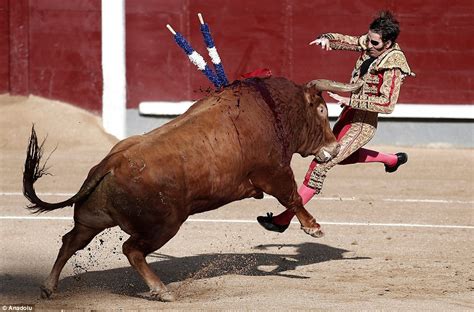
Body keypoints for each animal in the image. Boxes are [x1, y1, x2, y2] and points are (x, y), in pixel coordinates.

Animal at [22, 75, 362, 300]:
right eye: (322, 111)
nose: (334, 148)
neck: (273, 109)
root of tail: (112, 161)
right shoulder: (274, 172)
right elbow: (292, 198)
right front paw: (314, 228)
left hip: (93, 219)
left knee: (70, 241)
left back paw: (49, 288)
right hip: (163, 225)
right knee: (131, 249)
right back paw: (162, 291)